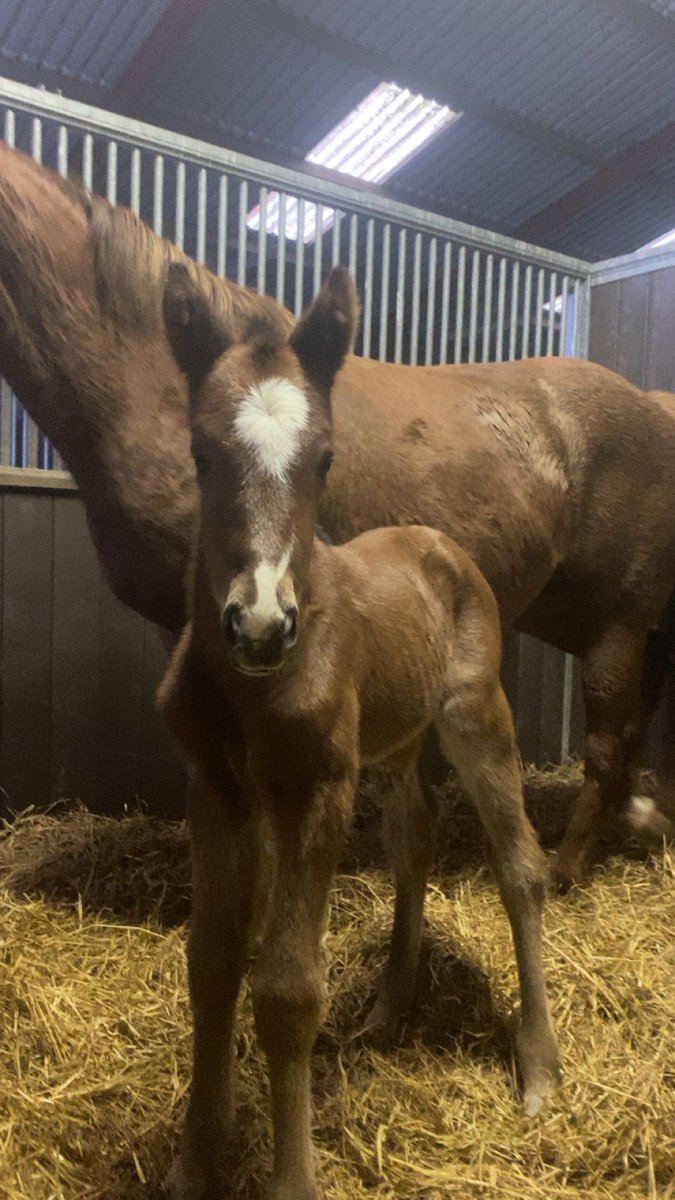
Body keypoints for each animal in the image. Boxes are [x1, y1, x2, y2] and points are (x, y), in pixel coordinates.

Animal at [0, 140, 674, 889]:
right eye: (201, 452)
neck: (147, 381)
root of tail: (650, 406)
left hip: (616, 626)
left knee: (608, 745)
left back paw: (565, 868)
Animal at [158, 263, 560, 1200]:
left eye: (325, 459)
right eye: (200, 453)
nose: (259, 627)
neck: (250, 689)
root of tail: (438, 542)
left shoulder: (316, 788)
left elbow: (286, 991)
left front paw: (290, 1179)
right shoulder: (214, 789)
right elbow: (211, 964)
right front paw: (196, 1161)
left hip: (474, 714)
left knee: (520, 866)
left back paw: (537, 1066)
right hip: (394, 741)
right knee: (415, 836)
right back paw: (389, 1004)